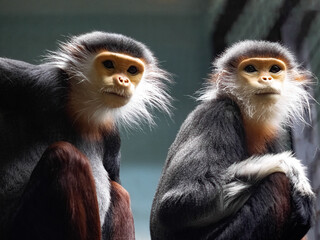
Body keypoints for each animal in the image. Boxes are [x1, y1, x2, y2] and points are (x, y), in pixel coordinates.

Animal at [0, 31, 172, 240]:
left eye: (132, 70)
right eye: (109, 64)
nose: (123, 80)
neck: (81, 113)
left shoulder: (111, 134)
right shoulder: (42, 81)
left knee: (119, 191)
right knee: (66, 155)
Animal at [150, 40, 316, 239]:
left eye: (275, 69)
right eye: (251, 68)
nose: (266, 78)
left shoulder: (277, 133)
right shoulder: (218, 115)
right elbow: (173, 205)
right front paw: (292, 168)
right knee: (278, 179)